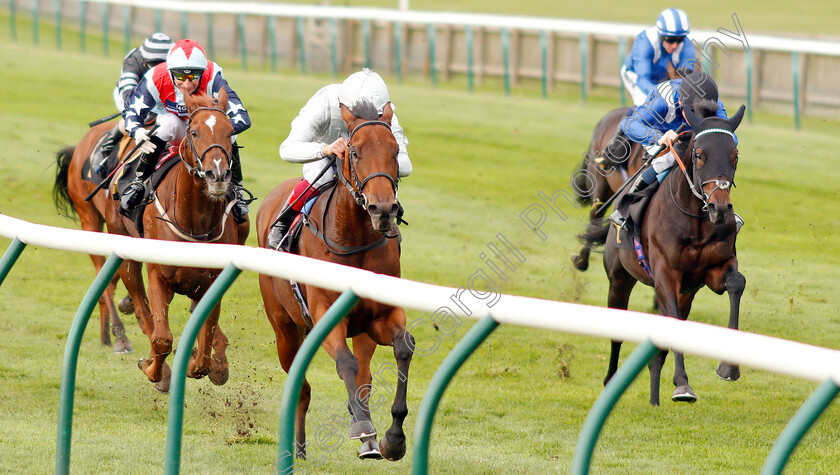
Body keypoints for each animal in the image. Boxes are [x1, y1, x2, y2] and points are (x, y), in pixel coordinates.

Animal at [53, 91, 246, 392]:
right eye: (194, 132)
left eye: (230, 133)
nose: (217, 175)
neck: (196, 222)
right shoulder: (159, 277)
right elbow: (162, 337)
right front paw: (156, 370)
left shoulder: (211, 282)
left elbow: (204, 347)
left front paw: (206, 364)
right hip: (99, 226)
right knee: (133, 306)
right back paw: (125, 341)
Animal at [256, 100, 414, 462]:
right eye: (354, 152)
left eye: (395, 150)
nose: (382, 209)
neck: (354, 239)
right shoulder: (325, 314)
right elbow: (345, 362)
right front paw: (363, 428)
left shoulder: (380, 317)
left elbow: (403, 348)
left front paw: (393, 438)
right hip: (284, 328)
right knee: (302, 386)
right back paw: (299, 450)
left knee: (364, 376)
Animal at [576, 101, 748, 406]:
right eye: (699, 155)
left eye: (734, 155)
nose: (719, 208)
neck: (695, 221)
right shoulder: (666, 274)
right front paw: (683, 385)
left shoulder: (713, 271)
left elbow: (737, 283)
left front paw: (729, 368)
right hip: (619, 278)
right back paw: (611, 381)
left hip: (686, 294)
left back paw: (655, 394)